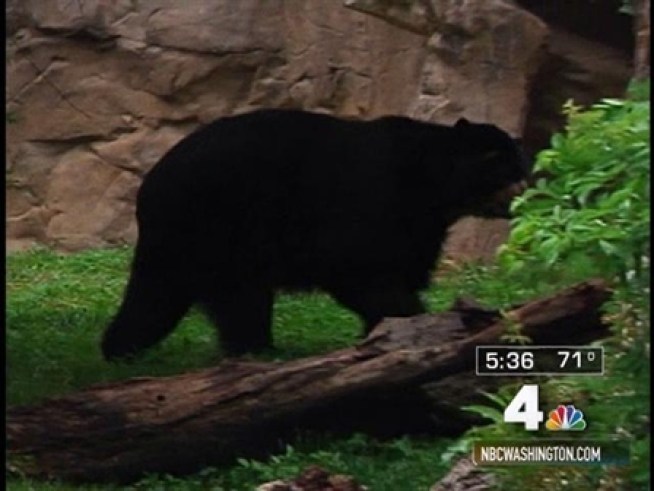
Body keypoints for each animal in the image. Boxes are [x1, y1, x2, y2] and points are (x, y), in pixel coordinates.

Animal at [101, 109, 529, 360]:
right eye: (500, 166)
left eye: (520, 166)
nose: (522, 195)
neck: (432, 184)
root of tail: (151, 186)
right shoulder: (373, 201)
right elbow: (355, 264)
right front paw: (409, 323)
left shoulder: (419, 226)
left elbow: (404, 264)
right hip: (224, 224)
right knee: (238, 297)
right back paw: (258, 350)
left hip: (184, 239)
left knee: (156, 295)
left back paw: (119, 348)